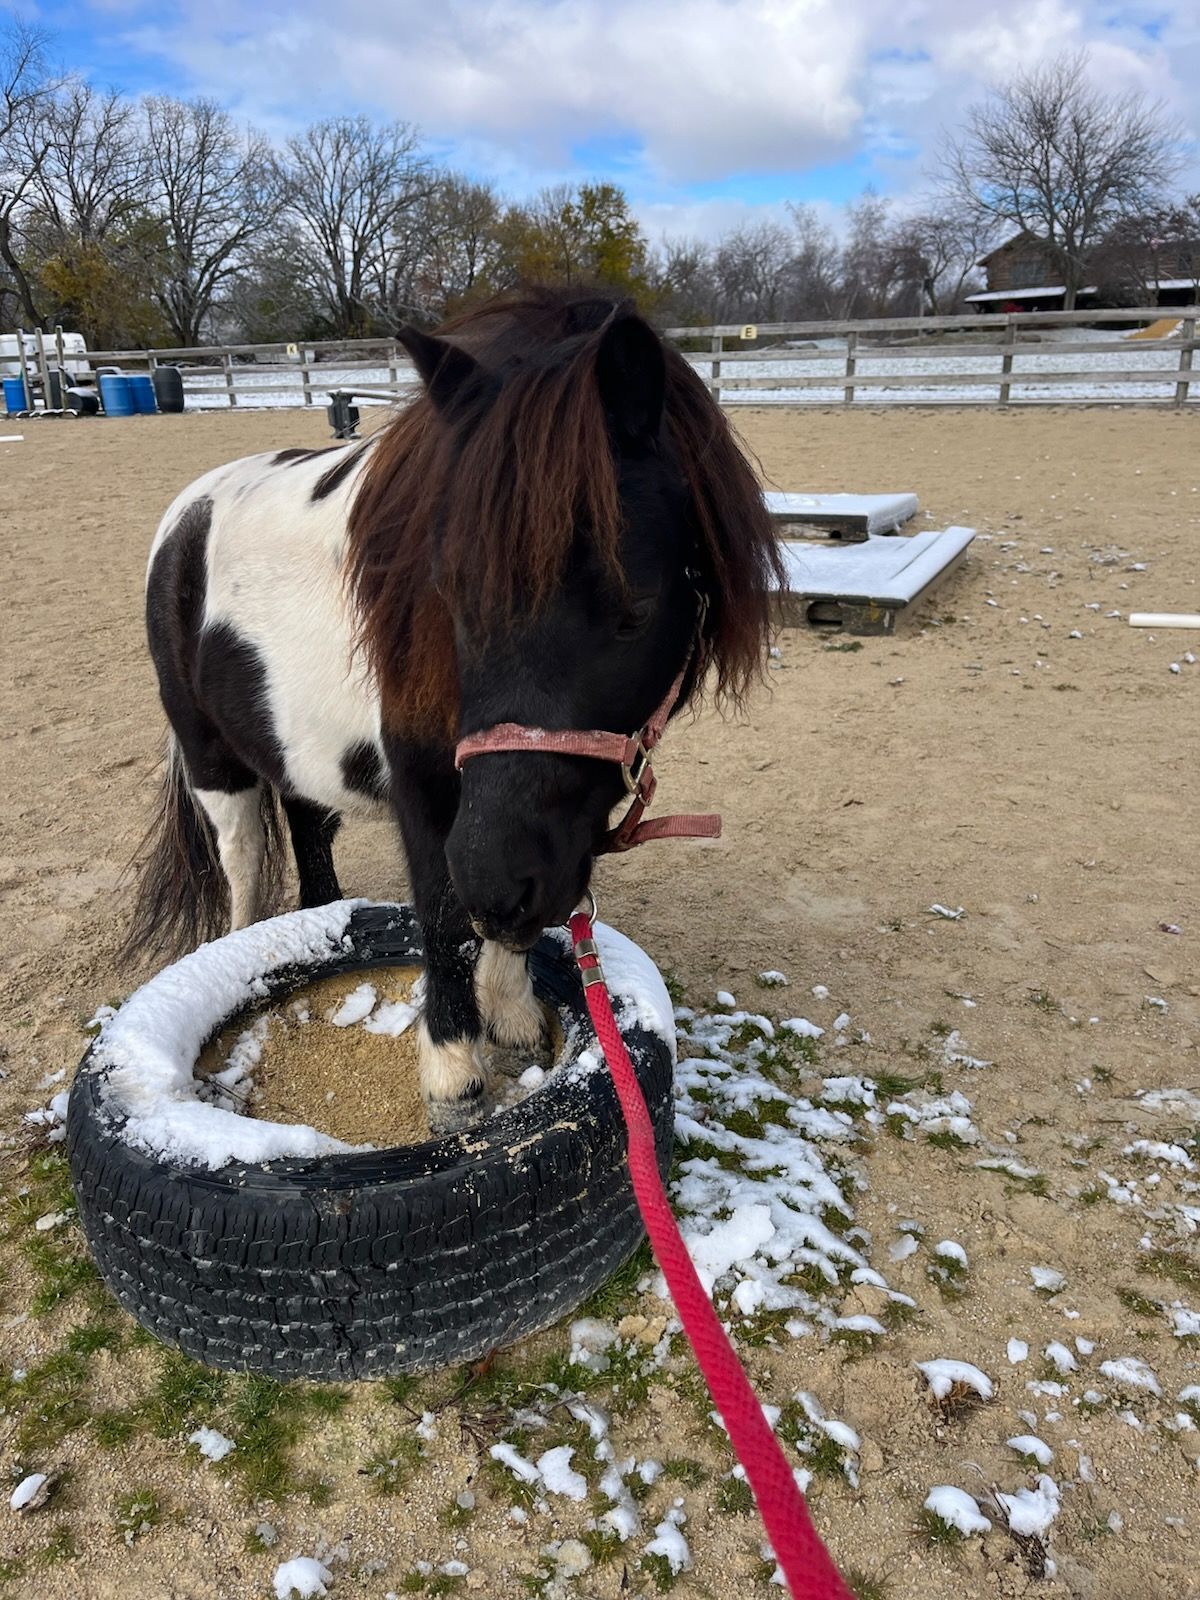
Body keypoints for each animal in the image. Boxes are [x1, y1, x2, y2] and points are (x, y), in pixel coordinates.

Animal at [124, 287, 781, 1134]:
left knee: (311, 836)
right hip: (214, 763)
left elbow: (499, 913)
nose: (498, 882)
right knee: (243, 863)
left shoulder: (540, 823)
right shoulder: (425, 789)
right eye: (447, 592)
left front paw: (513, 1019)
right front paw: (454, 1077)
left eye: (634, 608)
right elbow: (442, 914)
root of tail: (187, 515)